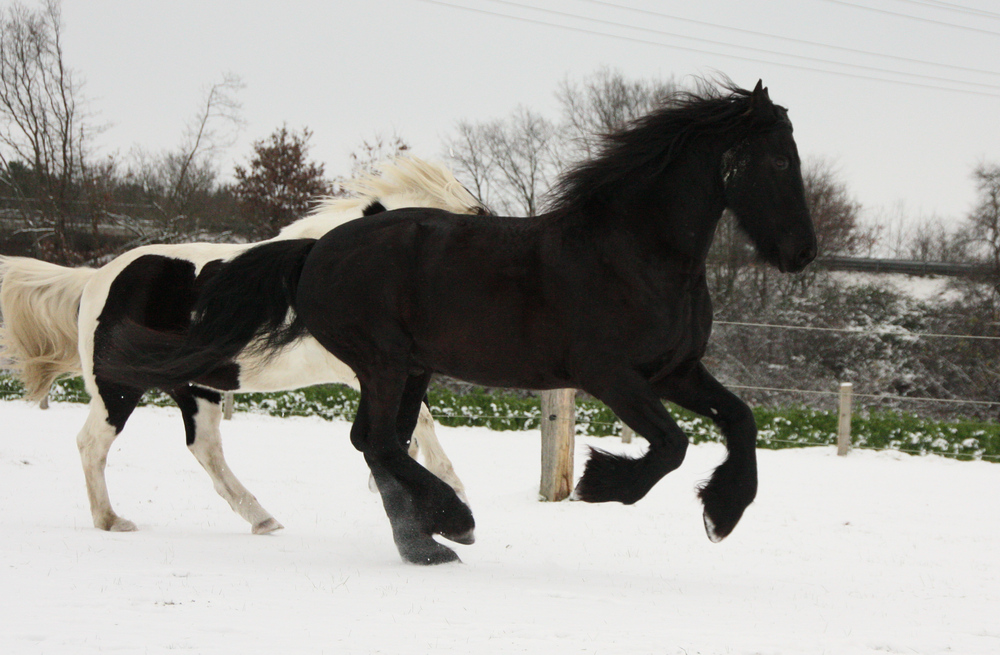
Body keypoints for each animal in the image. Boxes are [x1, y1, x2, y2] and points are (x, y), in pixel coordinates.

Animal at [0, 158, 484, 532]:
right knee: (92, 443)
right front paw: (454, 490)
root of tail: (95, 281)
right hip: (118, 385)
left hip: (195, 387)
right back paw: (111, 520)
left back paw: (261, 518)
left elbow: (410, 425)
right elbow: (418, 423)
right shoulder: (363, 368)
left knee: (205, 449)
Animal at [99, 82, 820, 564]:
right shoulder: (611, 374)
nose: (803, 253)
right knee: (379, 442)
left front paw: (723, 512)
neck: (635, 253)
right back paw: (452, 524)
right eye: (780, 160)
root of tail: (315, 251)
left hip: (410, 368)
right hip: (385, 362)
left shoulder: (675, 370)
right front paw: (601, 483)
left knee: (376, 442)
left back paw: (428, 536)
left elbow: (740, 420)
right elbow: (671, 446)